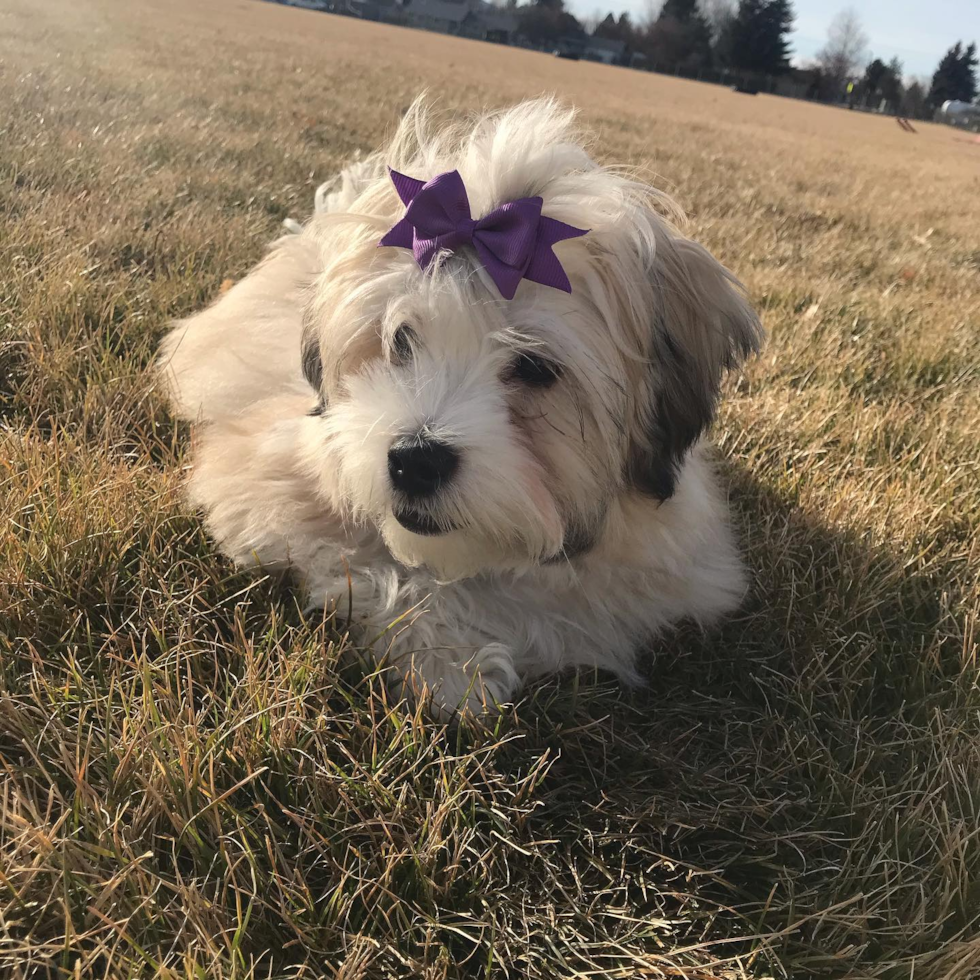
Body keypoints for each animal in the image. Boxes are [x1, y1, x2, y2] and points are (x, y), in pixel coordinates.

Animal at [157, 95, 760, 716]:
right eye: (400, 339)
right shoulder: (262, 482)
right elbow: (360, 563)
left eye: (534, 367)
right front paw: (450, 664)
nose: (415, 460)